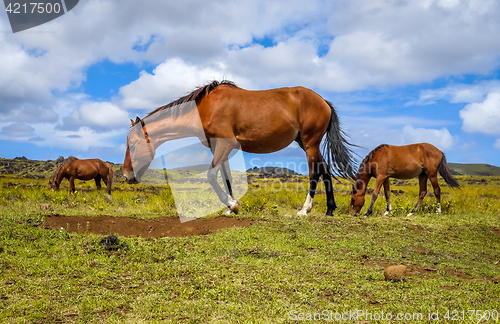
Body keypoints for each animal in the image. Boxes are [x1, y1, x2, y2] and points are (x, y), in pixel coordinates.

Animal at [122, 79, 356, 215]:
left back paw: (304, 210)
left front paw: (232, 205)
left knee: (315, 173)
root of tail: (323, 101)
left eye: (133, 143)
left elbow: (211, 176)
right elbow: (226, 178)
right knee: (325, 170)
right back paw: (330, 209)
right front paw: (230, 206)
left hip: (310, 144)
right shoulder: (218, 147)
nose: (126, 175)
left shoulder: (225, 144)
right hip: (307, 144)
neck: (206, 107)